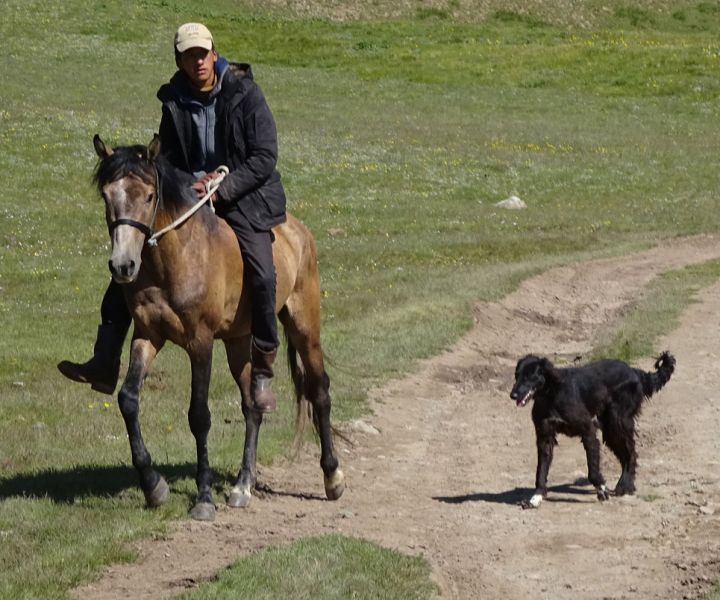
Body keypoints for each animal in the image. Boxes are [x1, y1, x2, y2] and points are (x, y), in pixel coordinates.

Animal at [89, 135, 344, 520]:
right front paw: (154, 486)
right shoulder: (148, 336)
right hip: (239, 341)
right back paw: (243, 484)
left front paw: (204, 497)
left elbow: (199, 415)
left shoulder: (201, 342)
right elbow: (128, 400)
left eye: (148, 196)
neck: (174, 259)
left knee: (319, 390)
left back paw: (332, 477)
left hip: (304, 325)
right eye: (106, 196)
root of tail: (298, 230)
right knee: (252, 404)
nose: (123, 266)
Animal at [512, 354, 676, 508]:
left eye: (529, 376)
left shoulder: (588, 431)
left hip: (618, 422)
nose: (512, 395)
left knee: (631, 454)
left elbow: (592, 470)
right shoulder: (544, 438)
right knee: (625, 455)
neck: (550, 394)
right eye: (517, 375)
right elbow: (540, 471)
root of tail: (633, 370)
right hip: (610, 429)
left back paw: (625, 486)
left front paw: (602, 489)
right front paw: (535, 498)